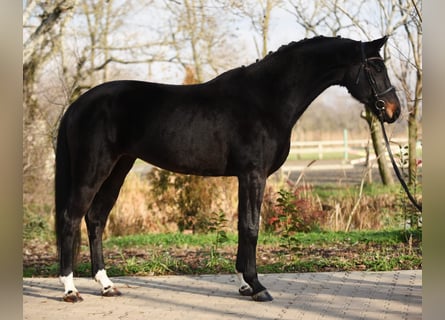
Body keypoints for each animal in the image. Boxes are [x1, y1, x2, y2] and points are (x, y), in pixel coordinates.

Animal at [54, 35, 398, 302]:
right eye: (375, 67)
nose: (393, 110)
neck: (266, 99)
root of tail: (77, 105)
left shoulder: (245, 177)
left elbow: (242, 227)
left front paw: (245, 284)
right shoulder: (253, 175)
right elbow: (251, 227)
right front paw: (258, 287)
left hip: (119, 167)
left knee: (95, 218)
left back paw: (106, 285)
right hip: (94, 169)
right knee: (71, 218)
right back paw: (71, 290)